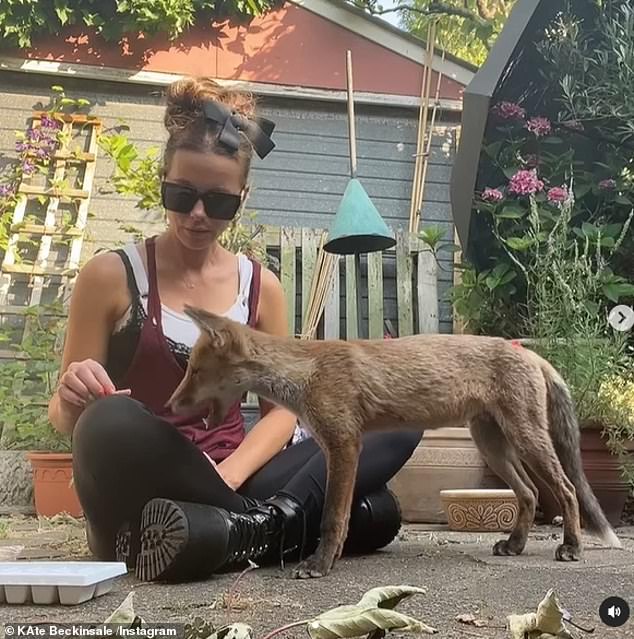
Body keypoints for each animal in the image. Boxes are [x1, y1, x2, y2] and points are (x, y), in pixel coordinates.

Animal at [165, 304, 620, 580]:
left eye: (195, 370)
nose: (168, 406)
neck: (305, 372)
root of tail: (531, 354)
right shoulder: (338, 445)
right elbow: (336, 516)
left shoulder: (344, 444)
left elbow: (333, 518)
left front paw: (320, 564)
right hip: (493, 444)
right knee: (528, 493)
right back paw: (515, 545)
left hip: (526, 439)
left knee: (566, 490)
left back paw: (572, 547)